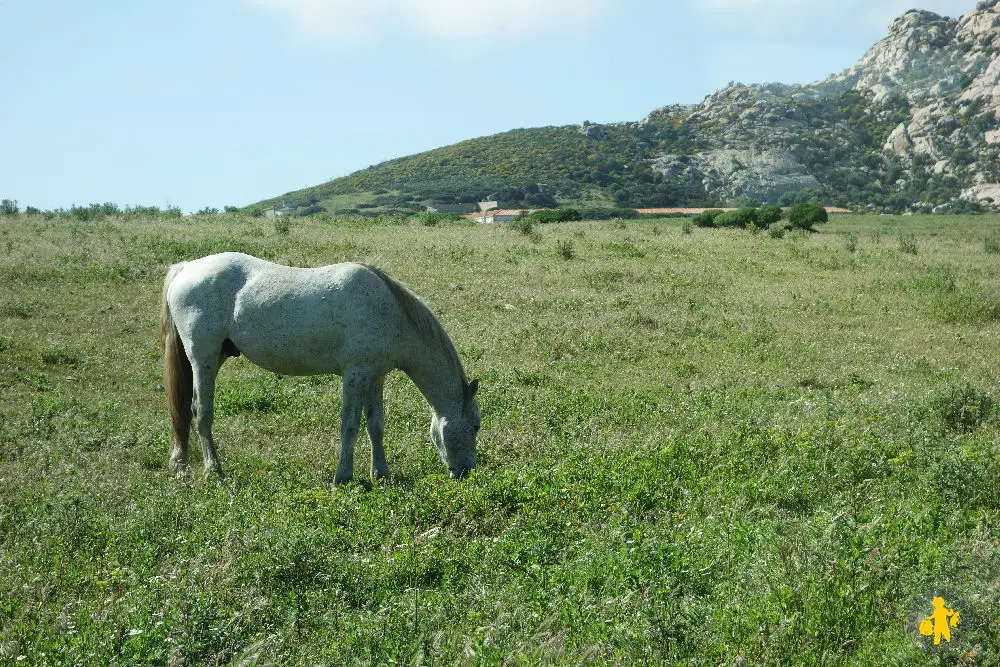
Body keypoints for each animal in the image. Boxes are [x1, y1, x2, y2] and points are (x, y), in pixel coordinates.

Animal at [160, 253, 480, 482]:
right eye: (475, 425)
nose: (468, 472)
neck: (390, 310)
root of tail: (186, 268)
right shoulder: (355, 375)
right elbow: (350, 425)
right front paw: (343, 477)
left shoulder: (375, 376)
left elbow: (376, 426)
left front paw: (381, 475)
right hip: (203, 359)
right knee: (201, 413)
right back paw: (214, 470)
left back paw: (182, 465)